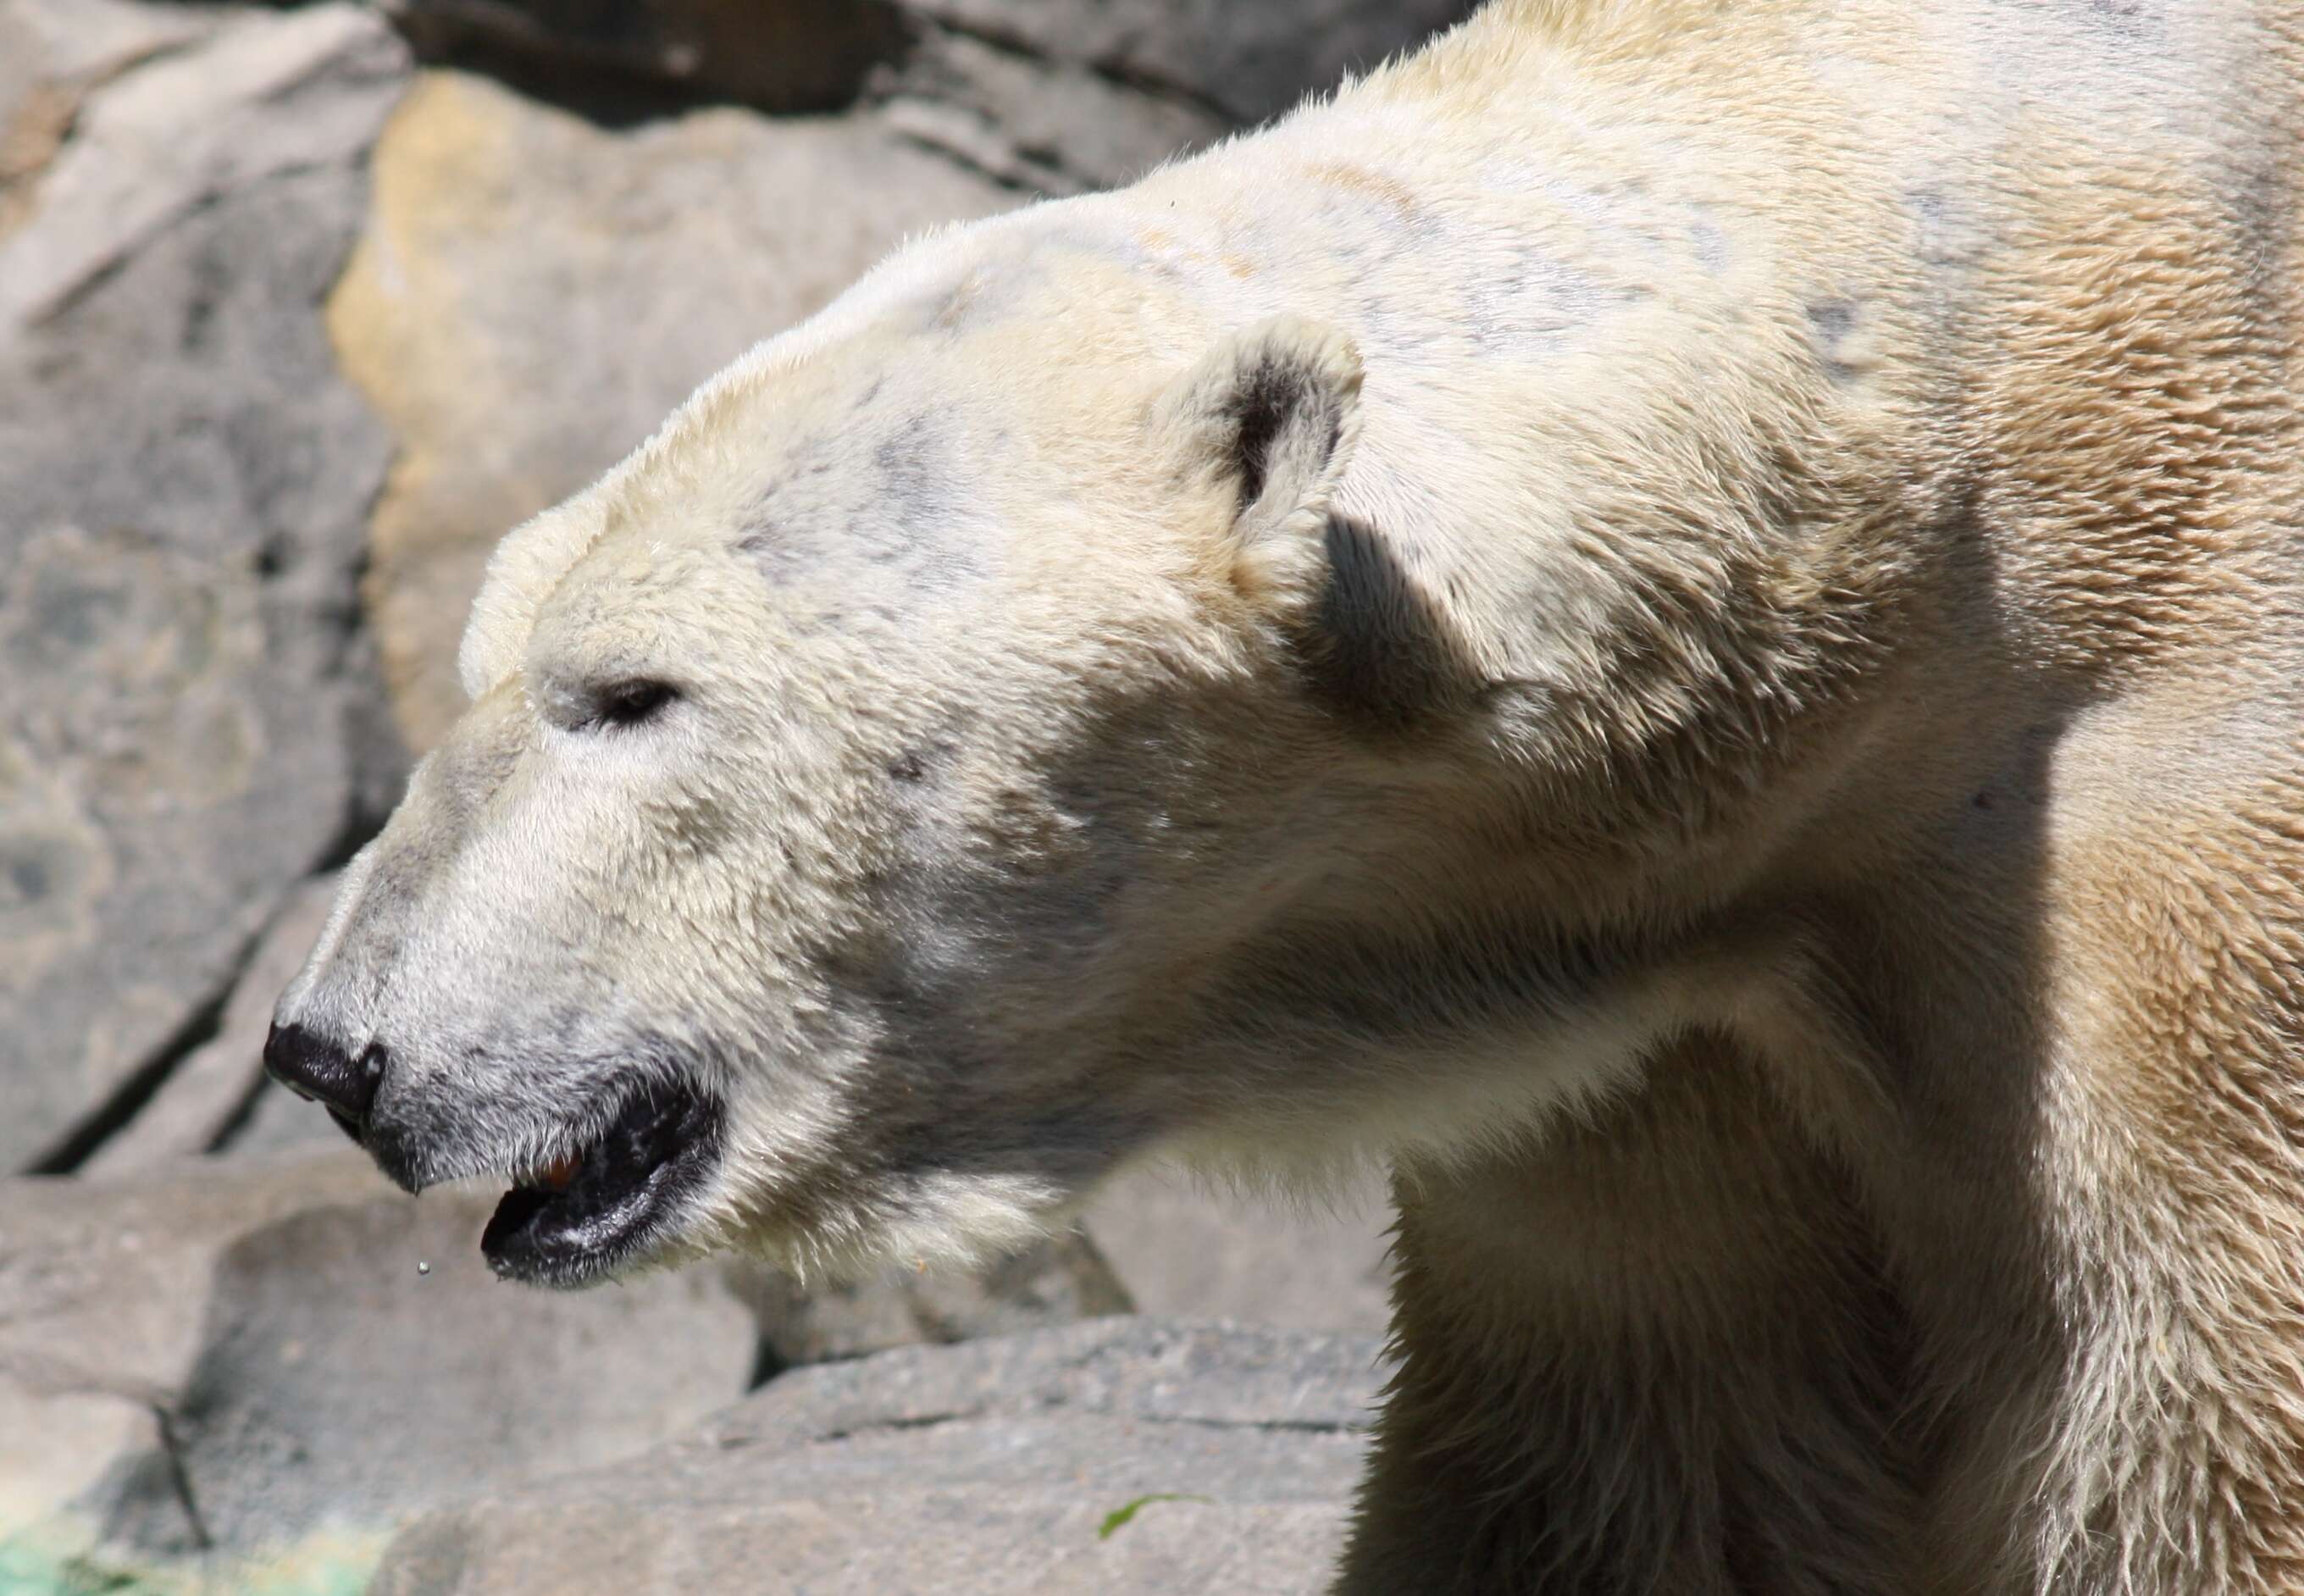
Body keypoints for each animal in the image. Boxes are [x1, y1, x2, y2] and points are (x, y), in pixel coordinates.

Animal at [264, 6, 2304, 1584]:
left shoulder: (2139, 856)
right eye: (485, 651)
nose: (327, 1049)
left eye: (633, 692)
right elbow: (1624, 1463)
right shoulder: (1641, 1035)